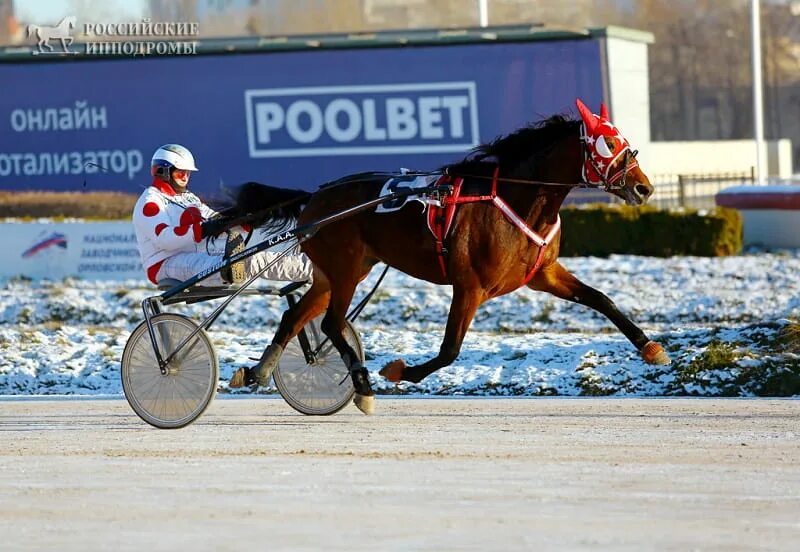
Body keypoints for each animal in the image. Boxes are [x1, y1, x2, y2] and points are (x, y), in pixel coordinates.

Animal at [217, 99, 668, 414]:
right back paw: (362, 386)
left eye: (625, 142)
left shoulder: (544, 273)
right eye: (608, 143)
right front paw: (398, 371)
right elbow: (450, 350)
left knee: (296, 317)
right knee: (330, 323)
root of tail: (314, 198)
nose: (644, 188)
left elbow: (601, 299)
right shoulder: (470, 285)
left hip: (335, 273)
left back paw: (259, 370)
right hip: (345, 270)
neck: (515, 198)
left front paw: (650, 348)